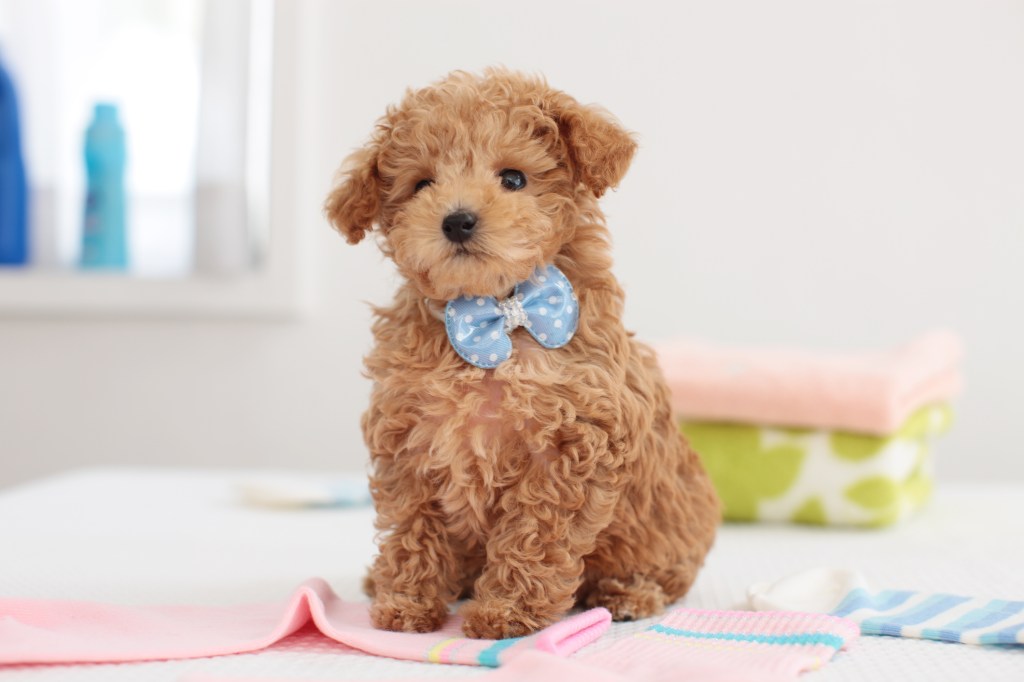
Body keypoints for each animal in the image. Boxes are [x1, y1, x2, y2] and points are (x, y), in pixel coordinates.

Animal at [325, 69, 720, 638]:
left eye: (513, 179)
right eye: (422, 185)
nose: (457, 221)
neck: (496, 314)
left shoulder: (569, 445)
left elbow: (533, 534)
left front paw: (506, 612)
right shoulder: (411, 438)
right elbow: (413, 527)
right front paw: (406, 601)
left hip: (669, 526)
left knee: (660, 572)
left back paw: (628, 594)